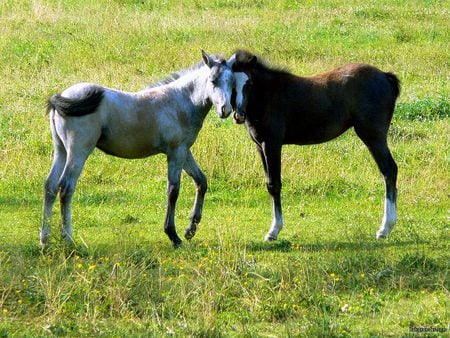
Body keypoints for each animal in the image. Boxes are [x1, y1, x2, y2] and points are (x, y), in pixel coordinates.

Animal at [41, 50, 236, 247]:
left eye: (232, 83)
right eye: (213, 81)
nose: (225, 110)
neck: (180, 102)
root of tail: (61, 97)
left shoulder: (184, 151)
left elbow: (201, 181)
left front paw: (191, 228)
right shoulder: (175, 152)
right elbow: (173, 191)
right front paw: (173, 235)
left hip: (61, 151)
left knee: (50, 186)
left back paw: (45, 240)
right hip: (78, 152)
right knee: (66, 188)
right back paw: (68, 239)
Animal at [229, 49, 400, 240]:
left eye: (249, 83)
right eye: (230, 83)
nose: (239, 115)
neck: (268, 95)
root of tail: (385, 76)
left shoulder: (272, 144)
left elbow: (274, 184)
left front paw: (274, 230)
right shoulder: (260, 146)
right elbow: (269, 183)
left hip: (373, 136)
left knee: (389, 170)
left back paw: (385, 228)